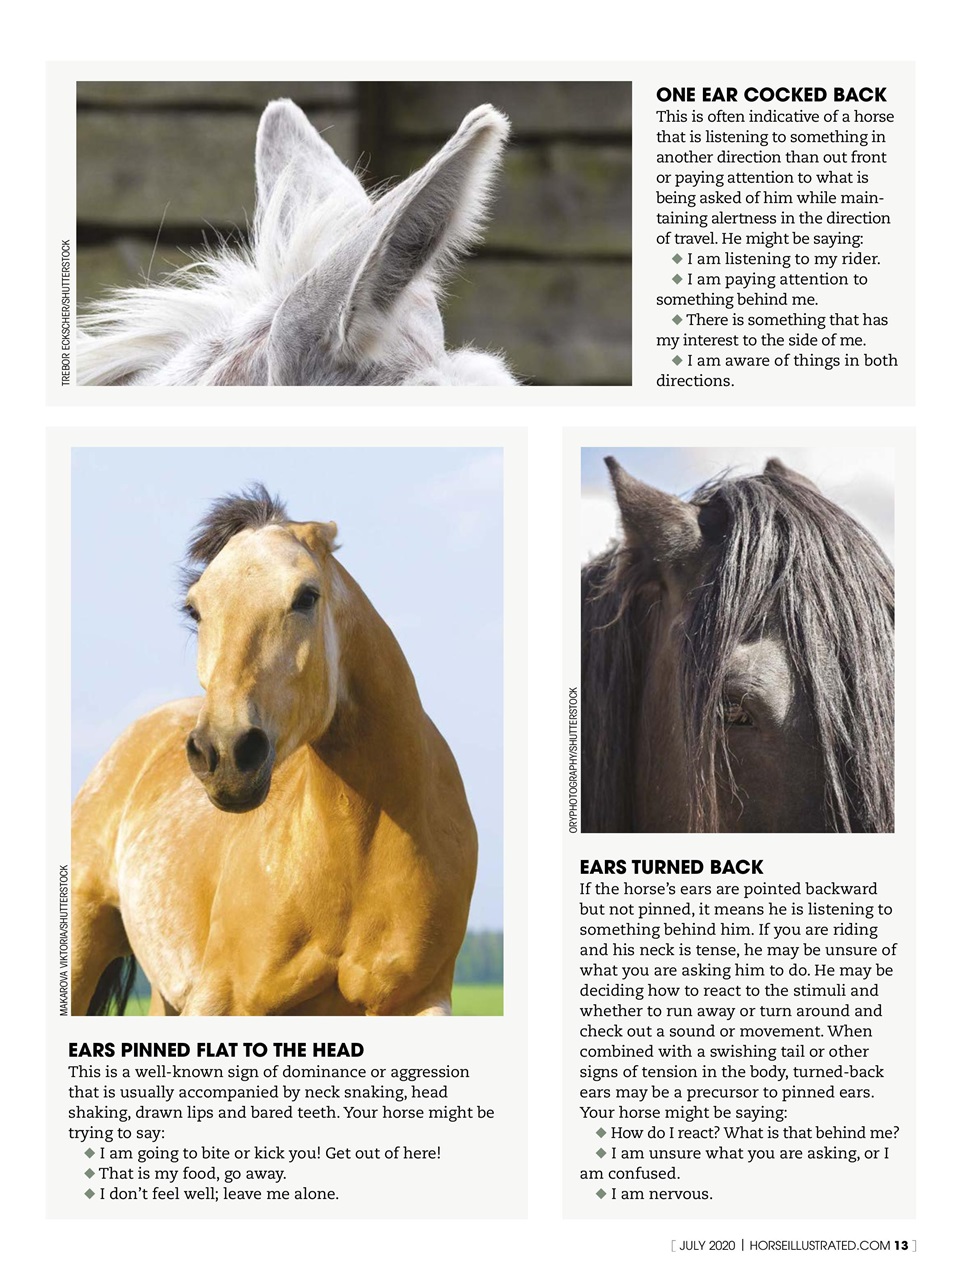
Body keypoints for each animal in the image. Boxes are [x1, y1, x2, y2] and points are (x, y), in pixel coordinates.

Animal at [72, 485, 478, 1015]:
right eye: (195, 609)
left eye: (306, 597)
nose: (224, 752)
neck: (359, 850)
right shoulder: (221, 999)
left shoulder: (421, 1001)